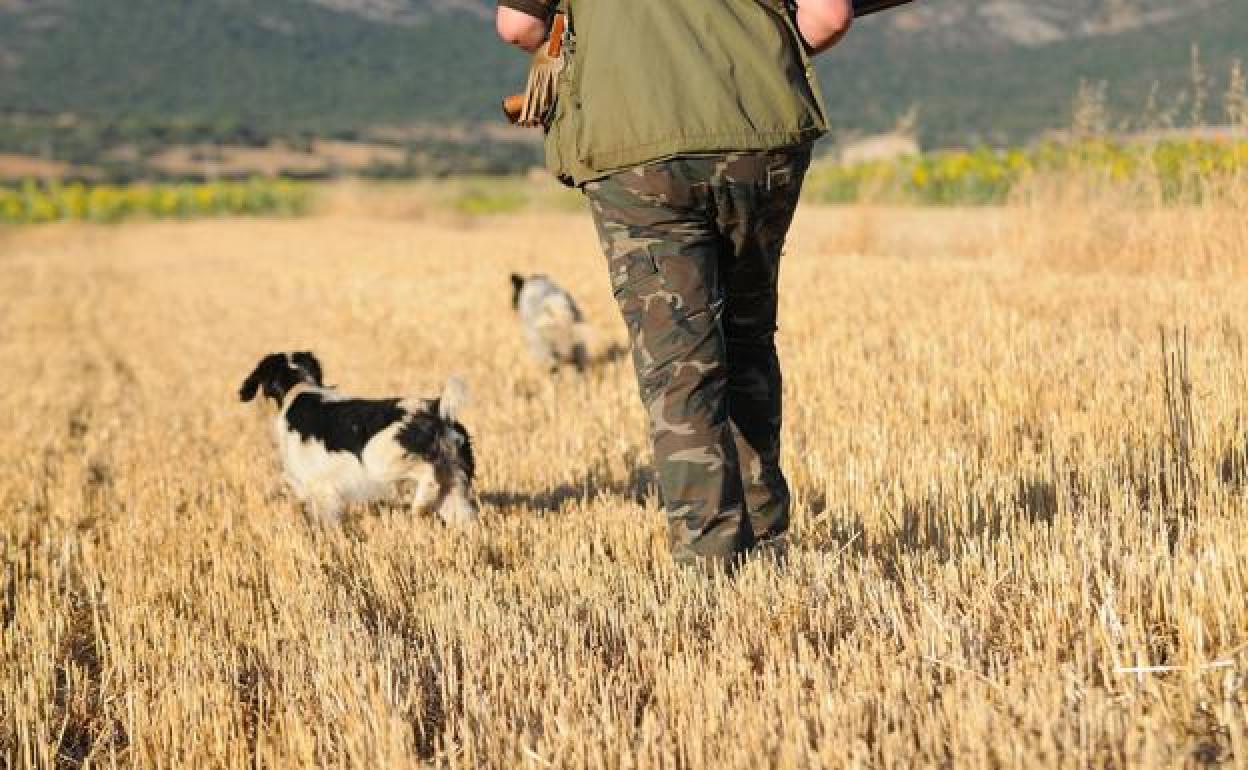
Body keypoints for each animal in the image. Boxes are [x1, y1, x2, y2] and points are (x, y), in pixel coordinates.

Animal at [237, 351, 476, 521]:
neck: (298, 387)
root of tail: (434, 409)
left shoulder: (321, 492)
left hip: (379, 461)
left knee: (428, 477)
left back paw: (420, 506)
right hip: (453, 488)